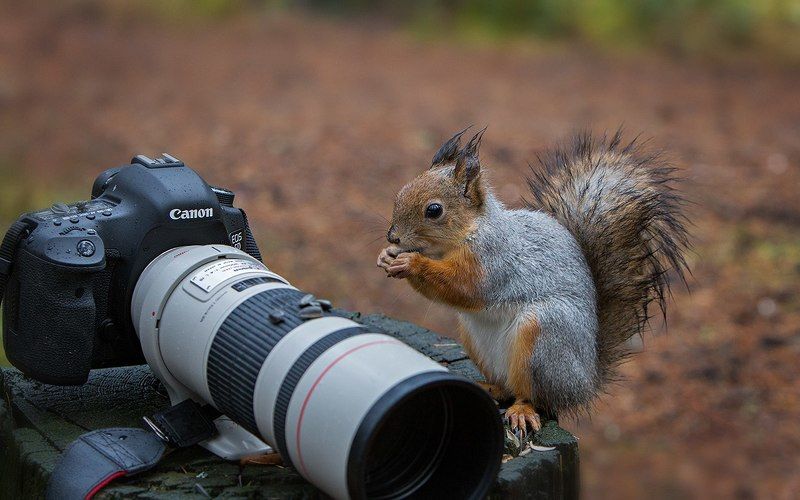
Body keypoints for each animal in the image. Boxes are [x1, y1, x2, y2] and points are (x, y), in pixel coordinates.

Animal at [377, 127, 689, 436]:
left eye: (434, 210)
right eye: (401, 193)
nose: (393, 236)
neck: (467, 233)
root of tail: (585, 382)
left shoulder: (493, 261)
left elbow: (465, 288)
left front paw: (411, 263)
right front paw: (387, 256)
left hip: (545, 336)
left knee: (534, 395)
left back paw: (522, 410)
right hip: (476, 338)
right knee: (506, 387)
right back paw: (489, 387)